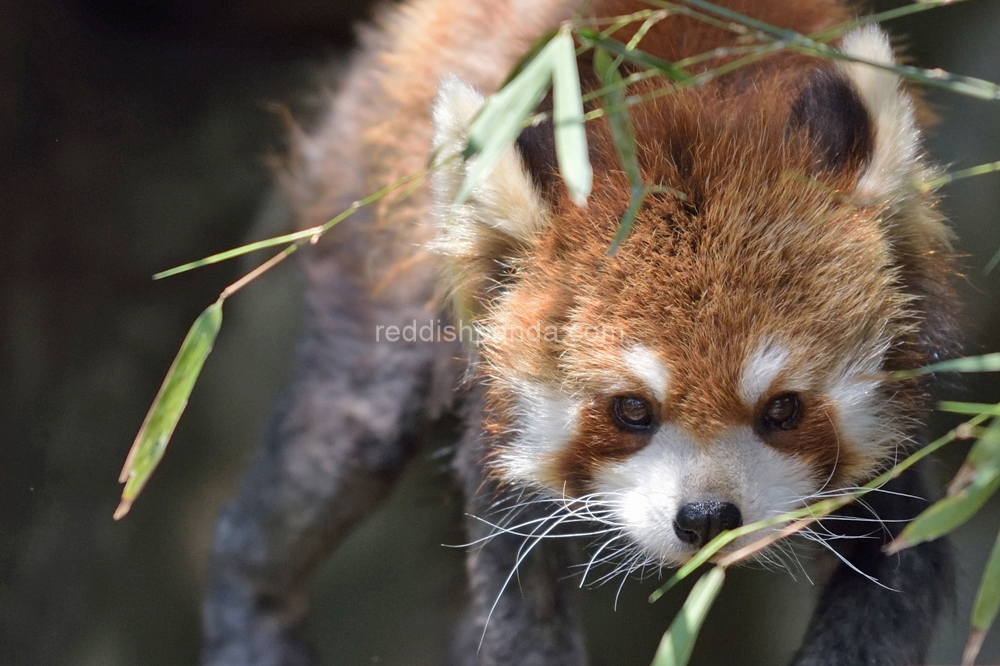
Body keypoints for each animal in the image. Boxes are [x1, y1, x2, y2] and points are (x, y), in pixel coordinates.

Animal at [201, 1, 952, 664]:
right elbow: (515, 597)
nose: (707, 518)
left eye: (784, 408)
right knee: (352, 433)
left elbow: (903, 562)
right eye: (631, 409)